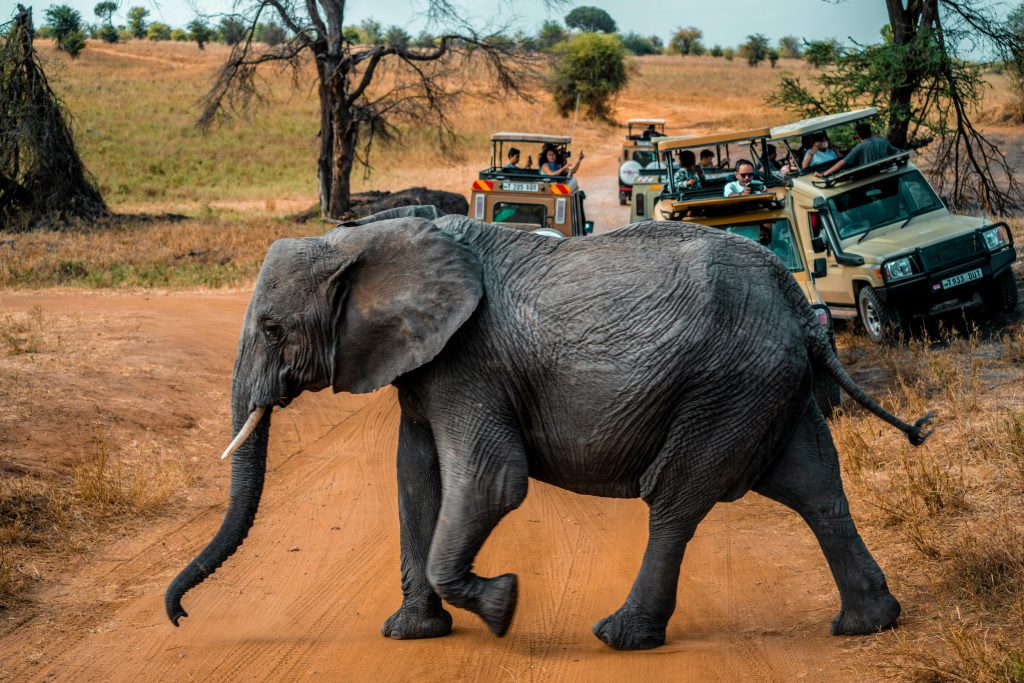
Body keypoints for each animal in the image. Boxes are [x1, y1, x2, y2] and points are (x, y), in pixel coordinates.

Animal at [165, 207, 932, 651]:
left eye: (272, 329)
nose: (178, 617)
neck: (364, 239)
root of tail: (800, 305)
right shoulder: (427, 364)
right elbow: (415, 478)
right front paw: (410, 634)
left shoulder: (470, 360)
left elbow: (491, 482)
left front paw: (501, 605)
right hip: (769, 384)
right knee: (816, 488)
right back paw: (869, 624)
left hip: (726, 386)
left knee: (677, 499)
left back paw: (620, 636)